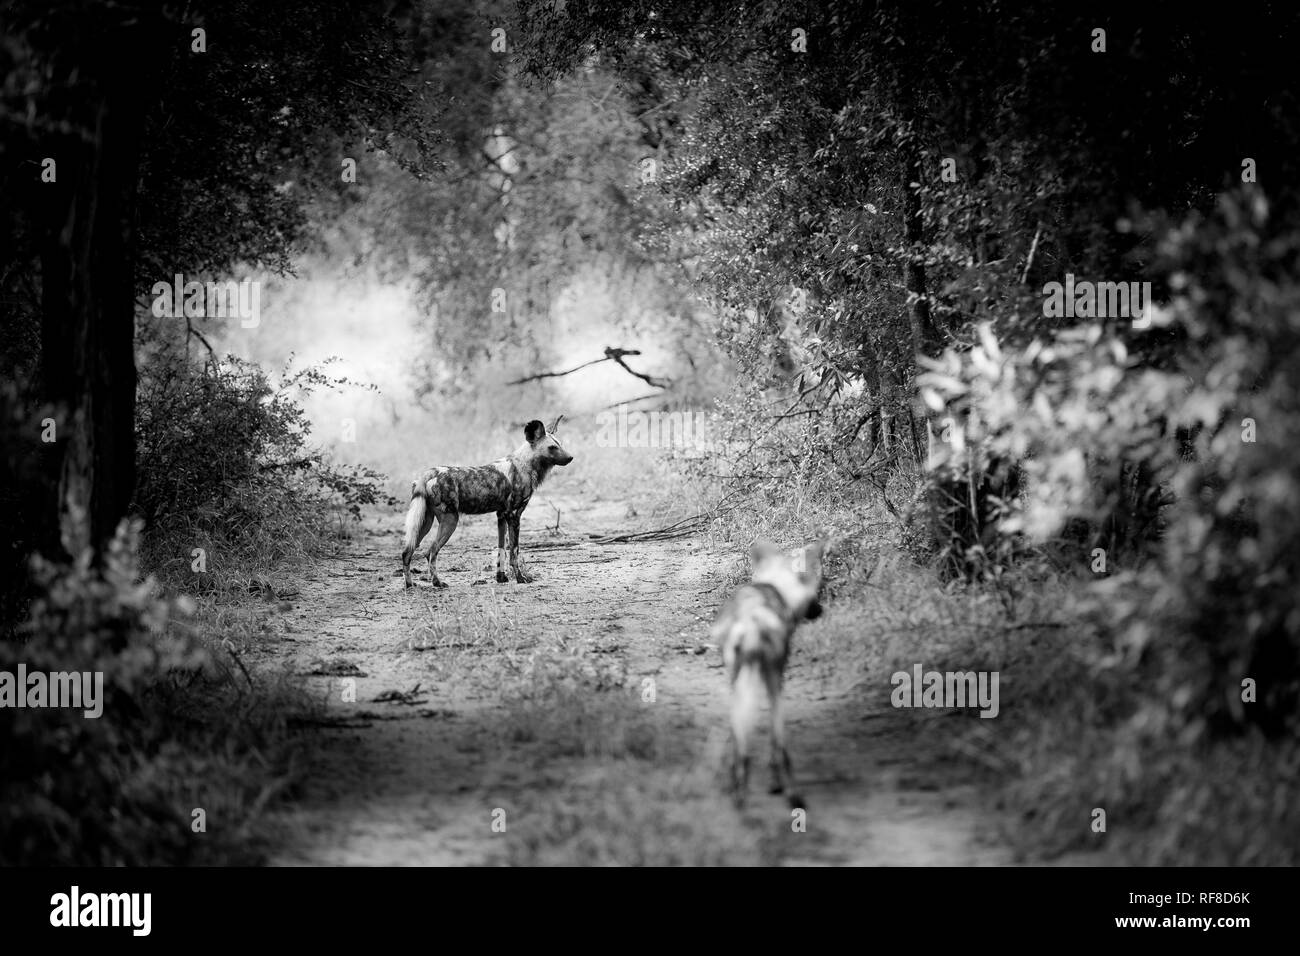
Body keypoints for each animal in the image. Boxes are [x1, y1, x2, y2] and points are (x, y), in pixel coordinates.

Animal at [400, 418, 574, 590]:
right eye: (552, 447)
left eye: (560, 444)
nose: (571, 457)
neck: (524, 465)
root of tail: (430, 472)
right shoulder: (514, 516)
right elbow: (514, 552)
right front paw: (520, 578)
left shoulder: (501, 516)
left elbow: (501, 549)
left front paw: (501, 578)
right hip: (450, 521)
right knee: (431, 552)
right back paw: (437, 582)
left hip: (425, 523)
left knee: (407, 552)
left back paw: (410, 585)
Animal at [717, 538, 826, 806]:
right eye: (814, 592)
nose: (820, 610)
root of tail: (753, 621)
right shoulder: (776, 678)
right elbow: (776, 746)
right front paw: (776, 783)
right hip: (775, 685)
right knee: (780, 744)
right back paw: (791, 793)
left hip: (738, 683)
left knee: (739, 740)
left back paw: (738, 792)